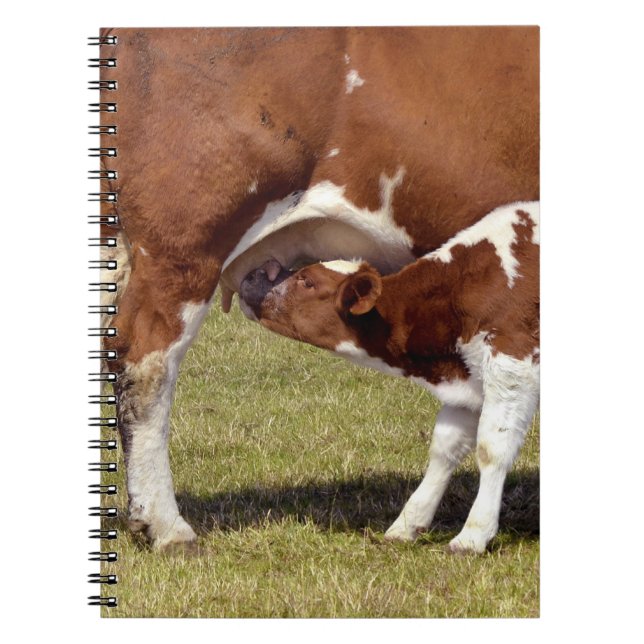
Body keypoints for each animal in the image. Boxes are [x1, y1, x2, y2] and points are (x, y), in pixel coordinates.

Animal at [239, 202, 539, 553]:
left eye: (307, 281)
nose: (256, 273)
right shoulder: (468, 382)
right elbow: (444, 449)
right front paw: (409, 523)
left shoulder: (512, 365)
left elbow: (492, 450)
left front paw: (473, 535)